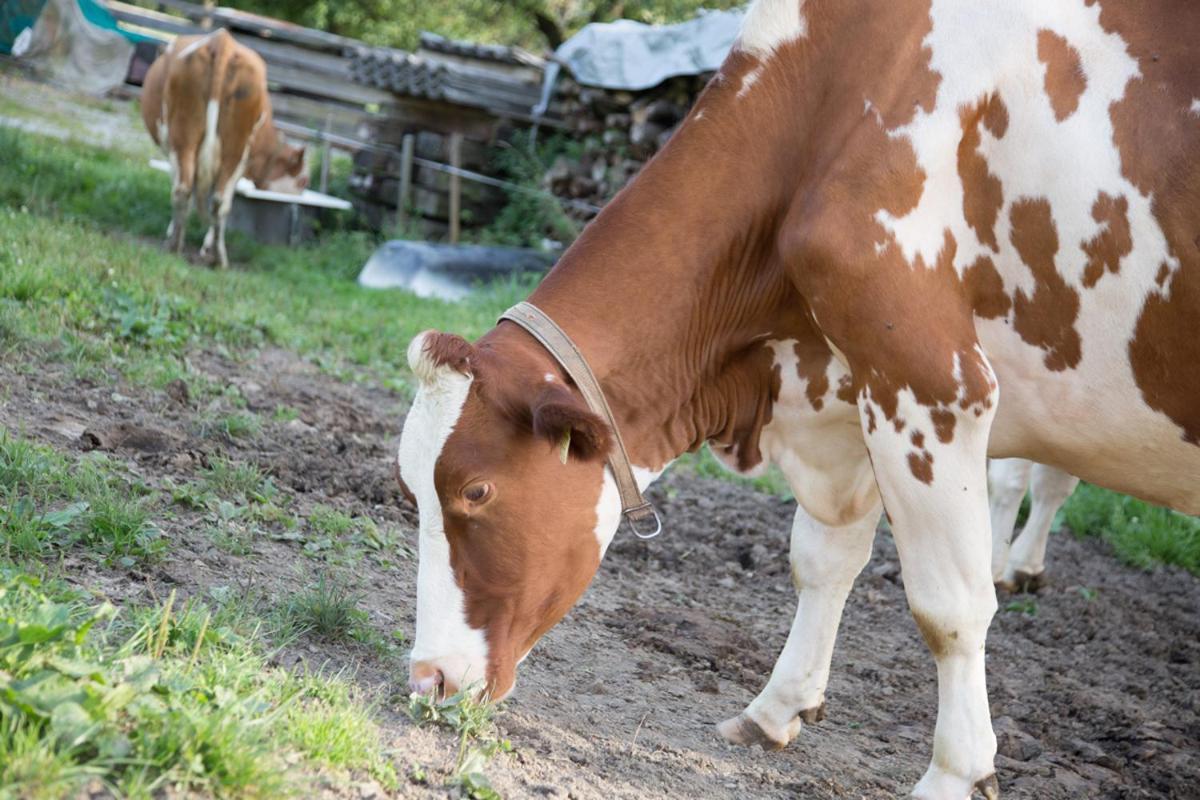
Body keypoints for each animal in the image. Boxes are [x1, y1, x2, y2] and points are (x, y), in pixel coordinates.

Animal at [141, 29, 309, 267]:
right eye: (303, 181)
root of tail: (222, 41)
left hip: (185, 138)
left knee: (186, 190)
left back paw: (180, 248)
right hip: (231, 148)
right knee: (213, 199)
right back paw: (214, 257)